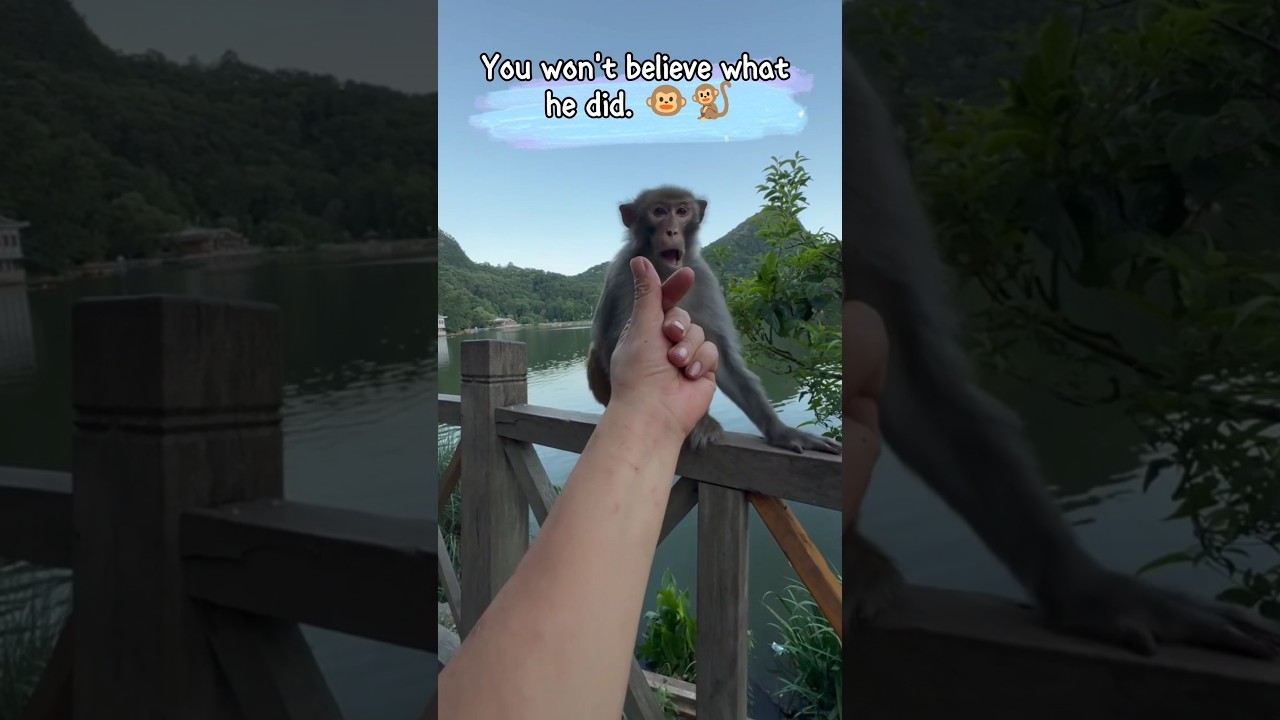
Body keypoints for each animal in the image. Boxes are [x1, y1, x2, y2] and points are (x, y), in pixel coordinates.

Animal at [587, 186, 842, 456]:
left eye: (682, 211)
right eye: (658, 212)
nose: (672, 230)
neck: (666, 274)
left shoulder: (703, 277)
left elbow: (726, 361)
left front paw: (780, 432)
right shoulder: (622, 275)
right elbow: (610, 349)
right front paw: (698, 422)